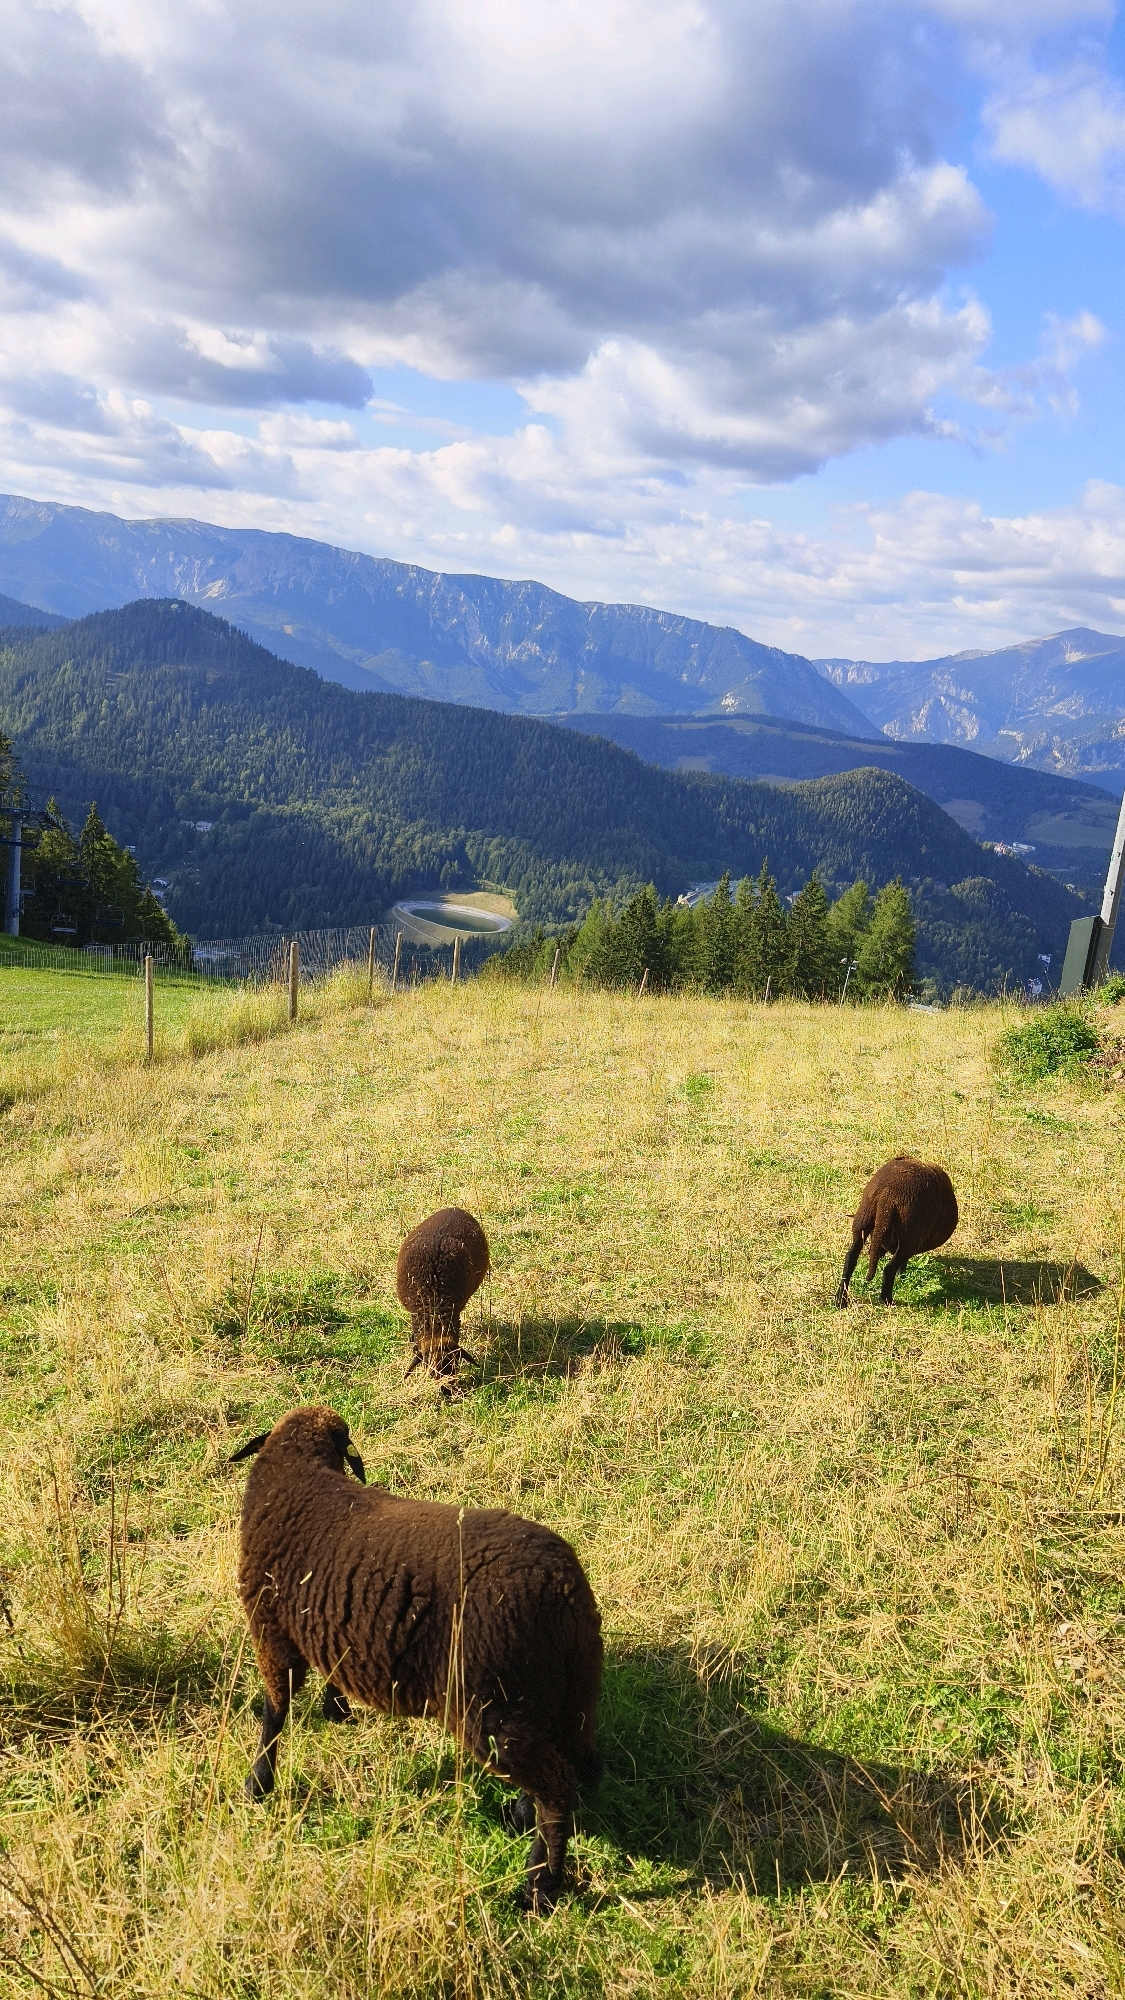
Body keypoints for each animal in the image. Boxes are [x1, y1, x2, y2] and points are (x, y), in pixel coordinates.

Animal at [229, 1405, 603, 1913]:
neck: (302, 1469)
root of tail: (565, 1591)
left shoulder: (270, 1629)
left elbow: (274, 1713)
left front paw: (259, 1783)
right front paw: (335, 1709)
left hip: (491, 1709)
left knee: (558, 1790)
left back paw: (539, 1887)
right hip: (563, 1696)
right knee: (561, 1770)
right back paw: (523, 1822)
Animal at [834, 1154, 958, 1306]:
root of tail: (888, 1196)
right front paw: (902, 1277)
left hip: (863, 1219)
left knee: (850, 1258)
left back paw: (840, 1299)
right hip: (910, 1236)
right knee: (889, 1268)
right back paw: (886, 1299)